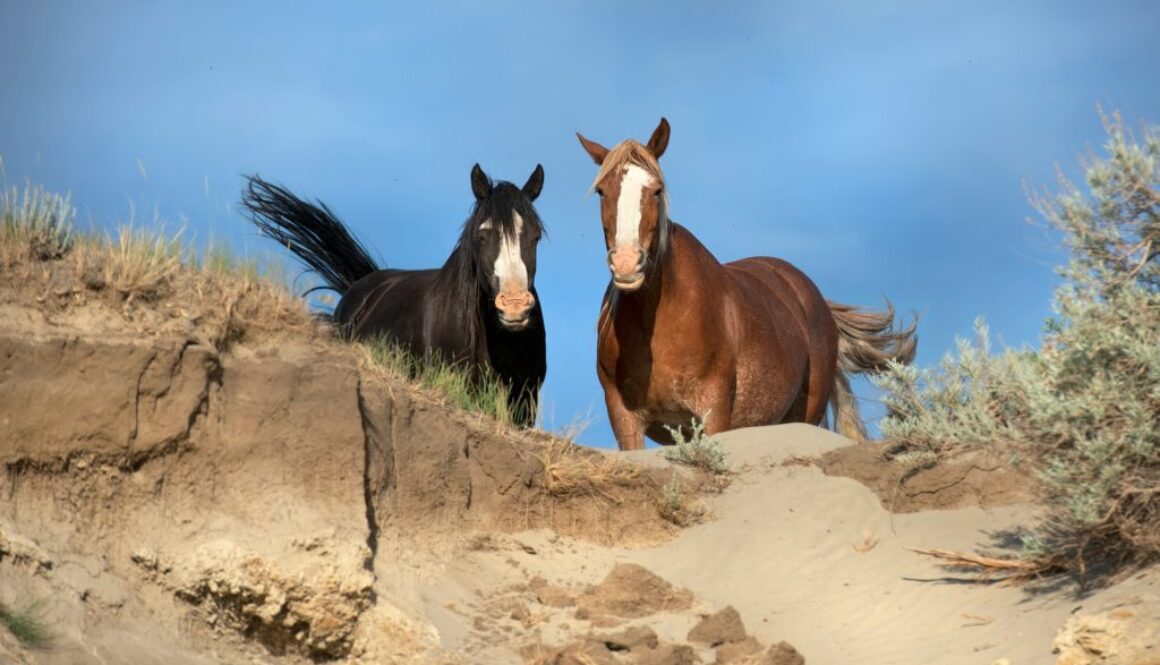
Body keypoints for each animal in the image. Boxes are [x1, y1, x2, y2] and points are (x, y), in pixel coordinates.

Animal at [577, 119, 914, 450]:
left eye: (657, 190)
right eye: (602, 191)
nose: (626, 264)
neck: (660, 324)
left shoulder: (714, 412)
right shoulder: (625, 420)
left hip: (805, 412)